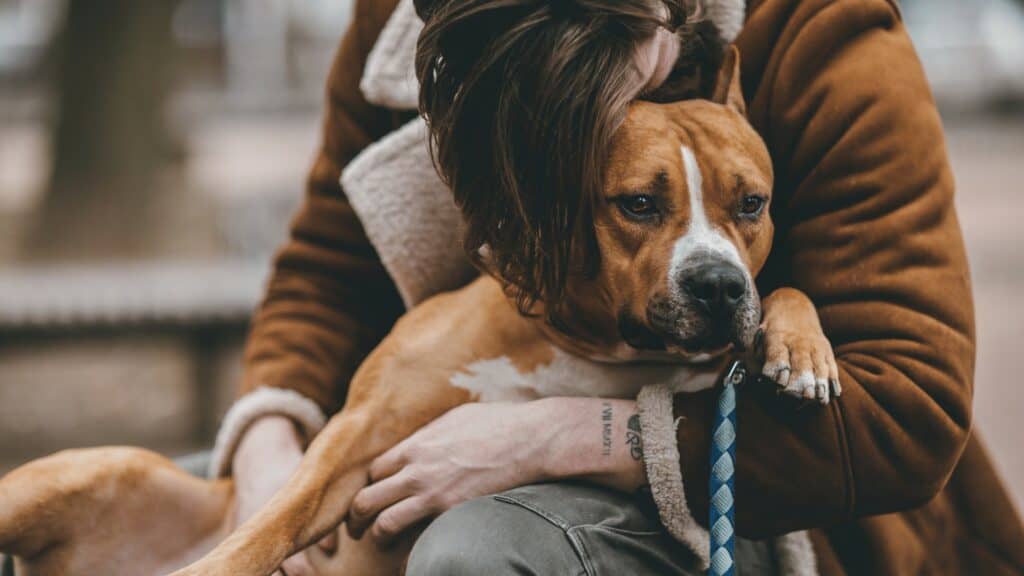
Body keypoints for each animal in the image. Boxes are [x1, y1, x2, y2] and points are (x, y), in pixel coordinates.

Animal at [0, 49, 835, 573]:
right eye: (637, 204)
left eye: (752, 203)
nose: (718, 286)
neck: (582, 340)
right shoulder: (359, 432)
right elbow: (276, 521)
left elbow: (786, 290)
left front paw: (801, 349)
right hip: (75, 476)